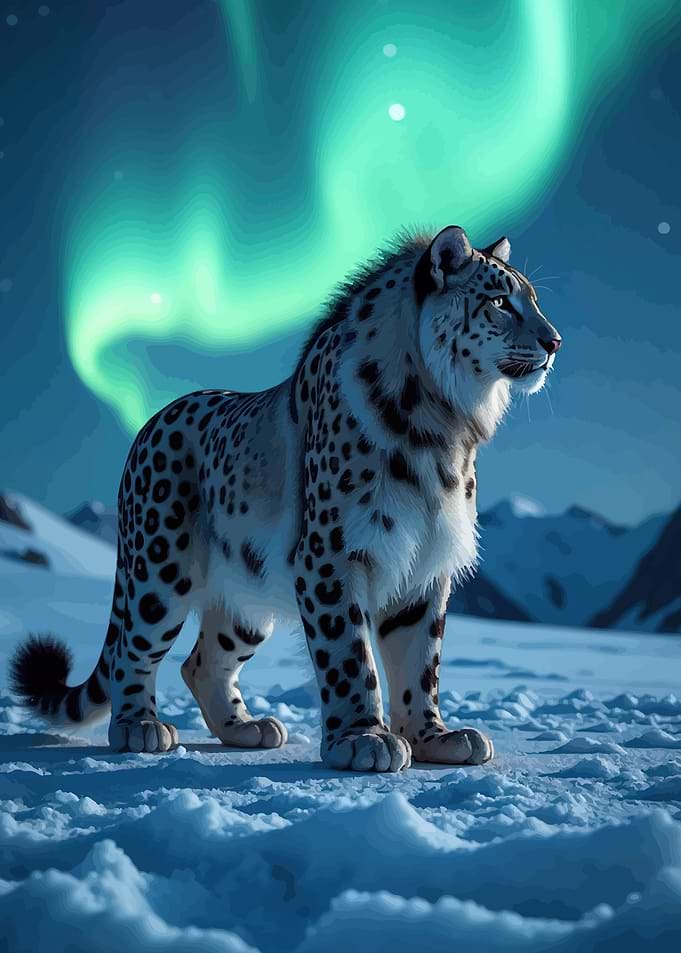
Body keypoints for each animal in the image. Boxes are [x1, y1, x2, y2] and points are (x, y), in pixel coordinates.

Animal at [10, 225, 561, 772]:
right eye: (499, 301)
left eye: (533, 299)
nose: (554, 341)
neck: (446, 425)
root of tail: (150, 424)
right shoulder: (333, 554)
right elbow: (349, 654)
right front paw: (364, 738)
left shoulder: (424, 562)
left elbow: (421, 661)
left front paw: (433, 736)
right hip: (159, 569)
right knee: (133, 649)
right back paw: (139, 727)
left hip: (246, 602)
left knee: (202, 660)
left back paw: (246, 728)